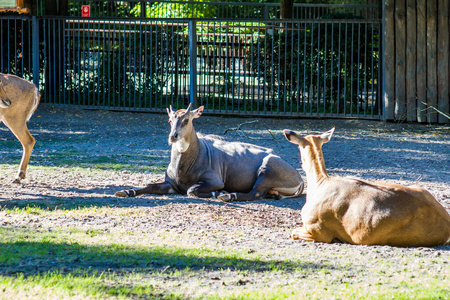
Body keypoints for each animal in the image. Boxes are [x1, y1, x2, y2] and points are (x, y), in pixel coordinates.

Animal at [114, 103, 304, 202]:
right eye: (170, 120)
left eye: (186, 119)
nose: (173, 136)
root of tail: (299, 177)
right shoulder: (171, 185)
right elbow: (150, 186)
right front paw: (126, 191)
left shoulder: (215, 181)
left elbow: (191, 190)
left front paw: (218, 193)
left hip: (265, 171)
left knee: (255, 193)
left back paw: (228, 195)